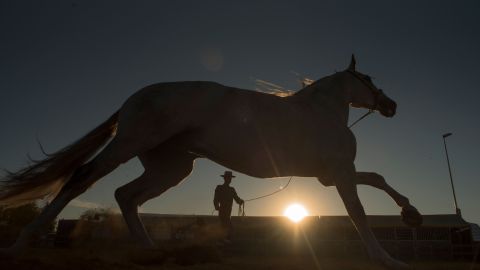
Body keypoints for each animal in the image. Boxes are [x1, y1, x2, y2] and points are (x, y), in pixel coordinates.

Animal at [0, 56, 420, 268]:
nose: (391, 105)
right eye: (368, 78)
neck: (320, 113)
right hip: (129, 148)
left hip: (171, 169)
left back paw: (151, 251)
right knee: (81, 179)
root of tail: (133, 99)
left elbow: (377, 178)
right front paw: (387, 259)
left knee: (126, 196)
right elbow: (358, 211)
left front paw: (411, 214)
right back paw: (20, 244)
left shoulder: (329, 176)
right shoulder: (340, 174)